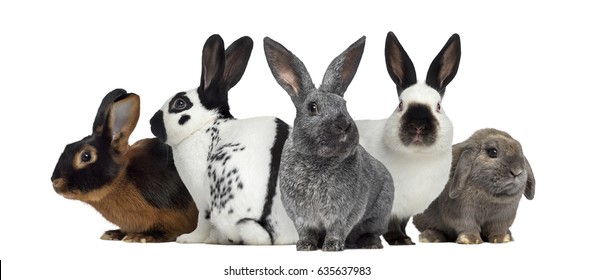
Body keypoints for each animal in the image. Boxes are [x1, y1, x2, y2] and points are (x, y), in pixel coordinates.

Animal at [51, 88, 197, 242]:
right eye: (67, 146)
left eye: (86, 156)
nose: (55, 183)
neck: (121, 177)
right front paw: (113, 234)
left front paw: (141, 237)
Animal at [148, 34, 296, 245]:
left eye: (180, 103)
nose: (152, 123)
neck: (205, 125)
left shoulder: (201, 199)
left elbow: (202, 221)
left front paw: (188, 239)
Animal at [262, 35, 394, 252]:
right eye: (312, 107)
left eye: (344, 105)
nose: (343, 124)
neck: (318, 159)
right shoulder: (300, 215)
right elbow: (306, 231)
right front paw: (305, 246)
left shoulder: (345, 212)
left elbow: (338, 228)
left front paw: (332, 246)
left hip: (380, 213)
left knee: (373, 231)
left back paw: (369, 244)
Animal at [354, 31, 460, 245]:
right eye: (401, 104)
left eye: (438, 106)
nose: (418, 125)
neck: (416, 157)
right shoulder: (392, 205)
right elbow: (390, 225)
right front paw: (399, 240)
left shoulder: (406, 210)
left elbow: (402, 223)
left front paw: (407, 239)